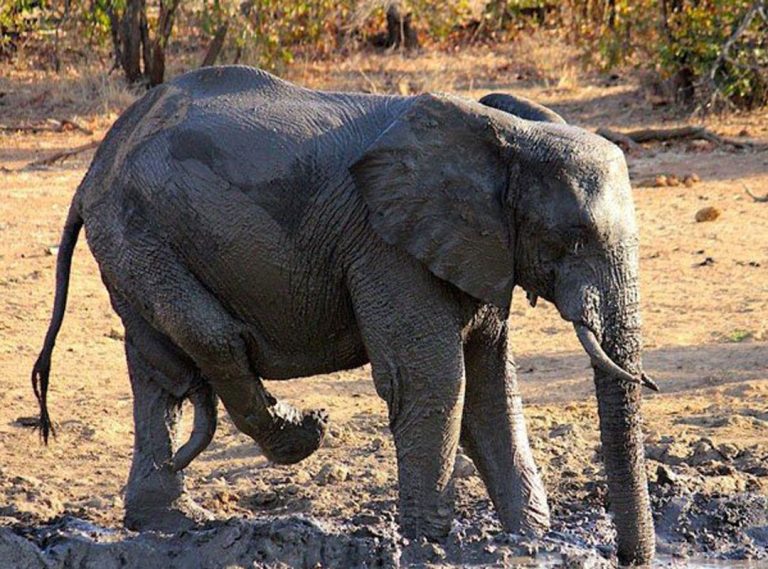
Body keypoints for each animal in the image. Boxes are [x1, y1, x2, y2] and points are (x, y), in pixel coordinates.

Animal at [33, 65, 656, 564]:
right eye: (575, 238)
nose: (627, 558)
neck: (507, 137)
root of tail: (93, 168)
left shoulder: (478, 247)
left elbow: (489, 389)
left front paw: (530, 541)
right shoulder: (385, 246)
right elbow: (434, 380)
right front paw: (428, 547)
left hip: (134, 243)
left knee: (158, 373)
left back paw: (167, 522)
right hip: (139, 235)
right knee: (212, 338)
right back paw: (298, 436)